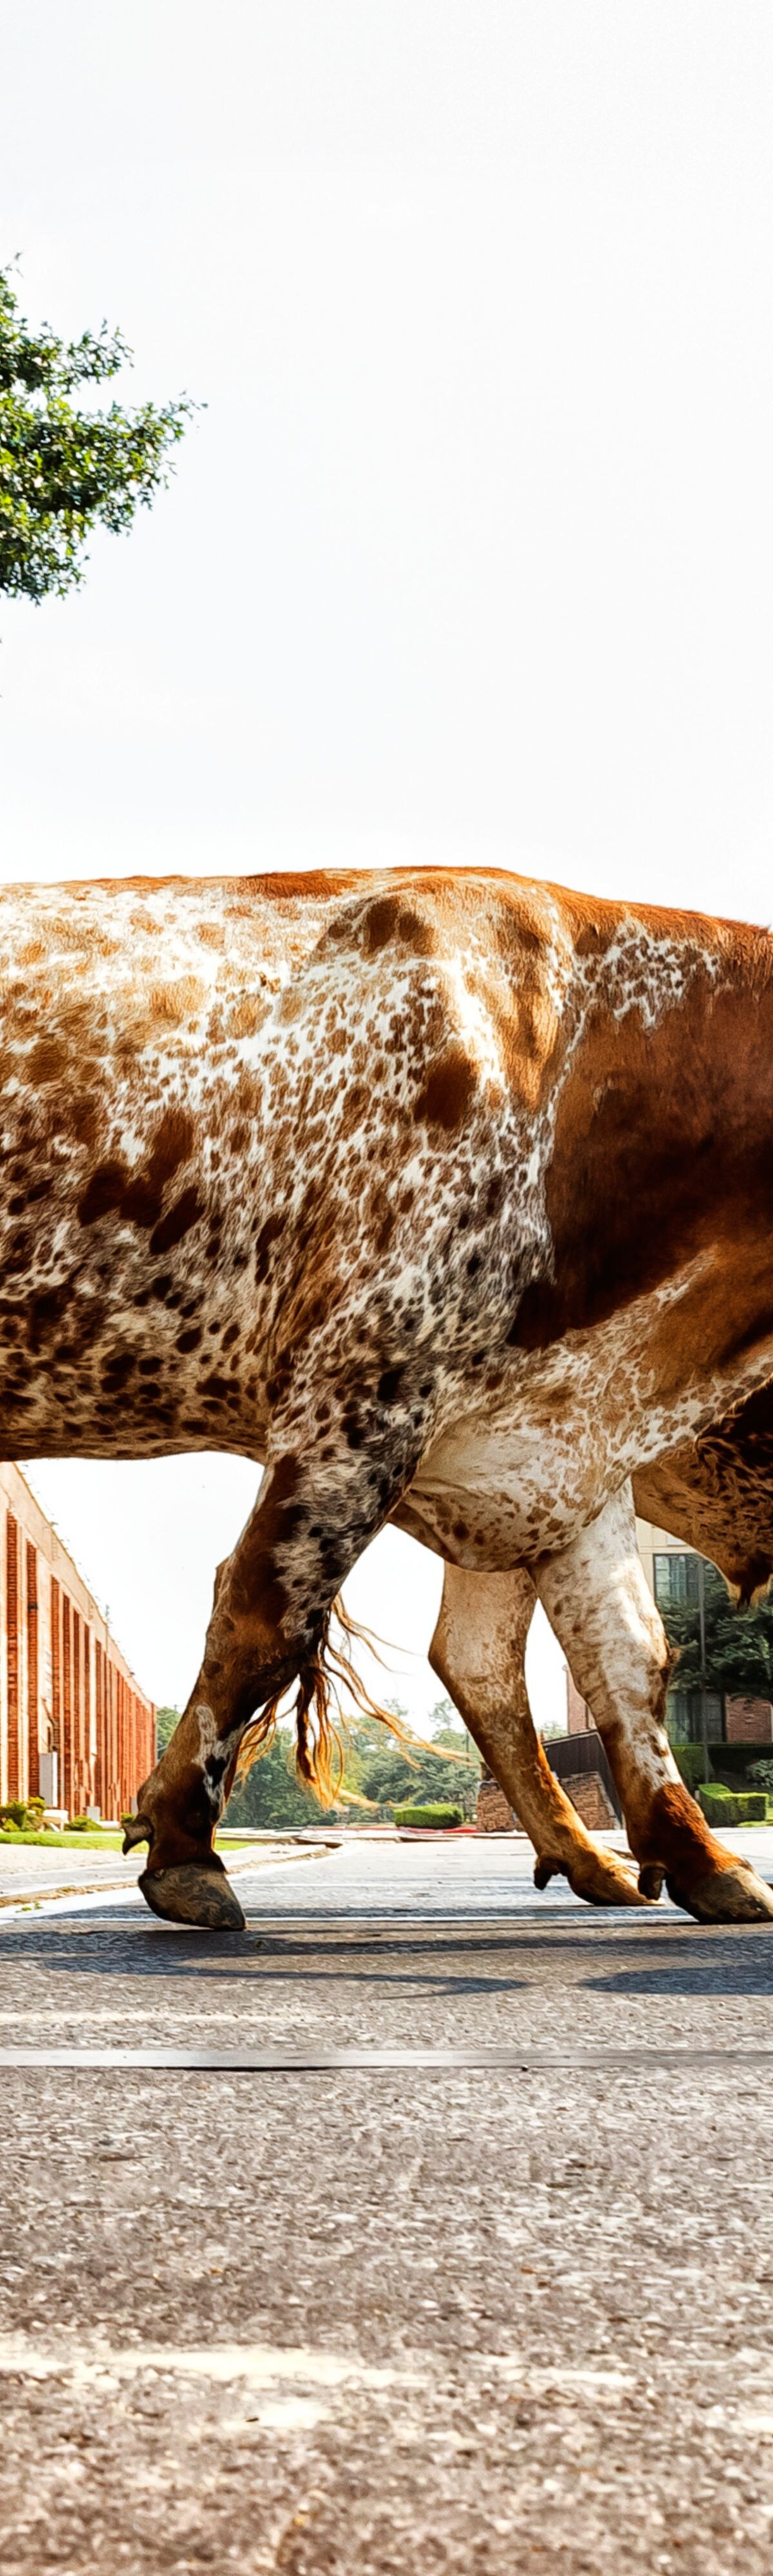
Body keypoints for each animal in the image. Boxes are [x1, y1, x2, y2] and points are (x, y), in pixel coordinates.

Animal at [2, 864, 773, 1929]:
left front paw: (702, 1859)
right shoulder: (362, 1388)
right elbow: (265, 1615)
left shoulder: (555, 1442)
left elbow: (626, 1659)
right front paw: (185, 1849)